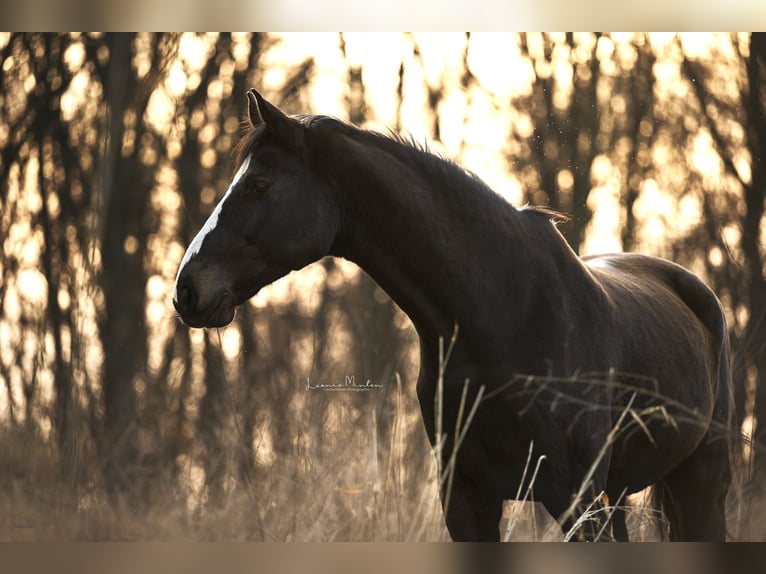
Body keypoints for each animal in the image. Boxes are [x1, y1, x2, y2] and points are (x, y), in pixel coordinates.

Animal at [173, 89, 735, 541]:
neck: (505, 317)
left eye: (259, 185)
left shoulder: (576, 498)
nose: (185, 290)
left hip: (697, 481)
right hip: (618, 495)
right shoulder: (467, 498)